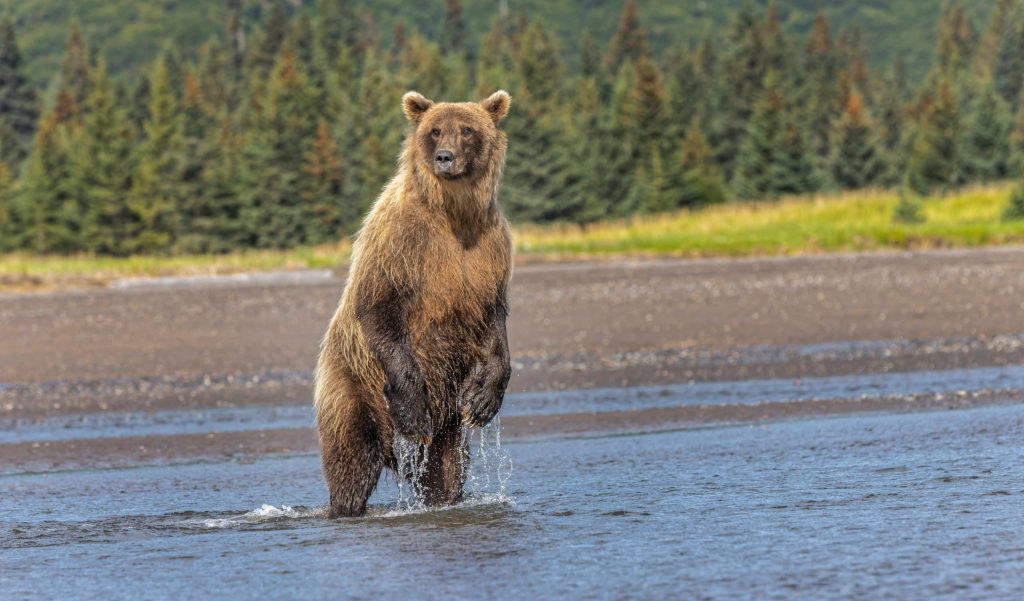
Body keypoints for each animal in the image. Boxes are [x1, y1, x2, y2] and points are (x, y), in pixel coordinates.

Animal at [314, 90, 513, 517]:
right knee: (352, 463)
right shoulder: (399, 243)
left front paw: (482, 401)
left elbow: (494, 321)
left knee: (446, 473)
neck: (453, 213)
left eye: (466, 130)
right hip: (352, 388)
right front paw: (412, 409)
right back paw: (346, 503)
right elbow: (379, 308)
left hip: (447, 429)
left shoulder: (489, 252)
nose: (445, 157)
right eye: (434, 130)